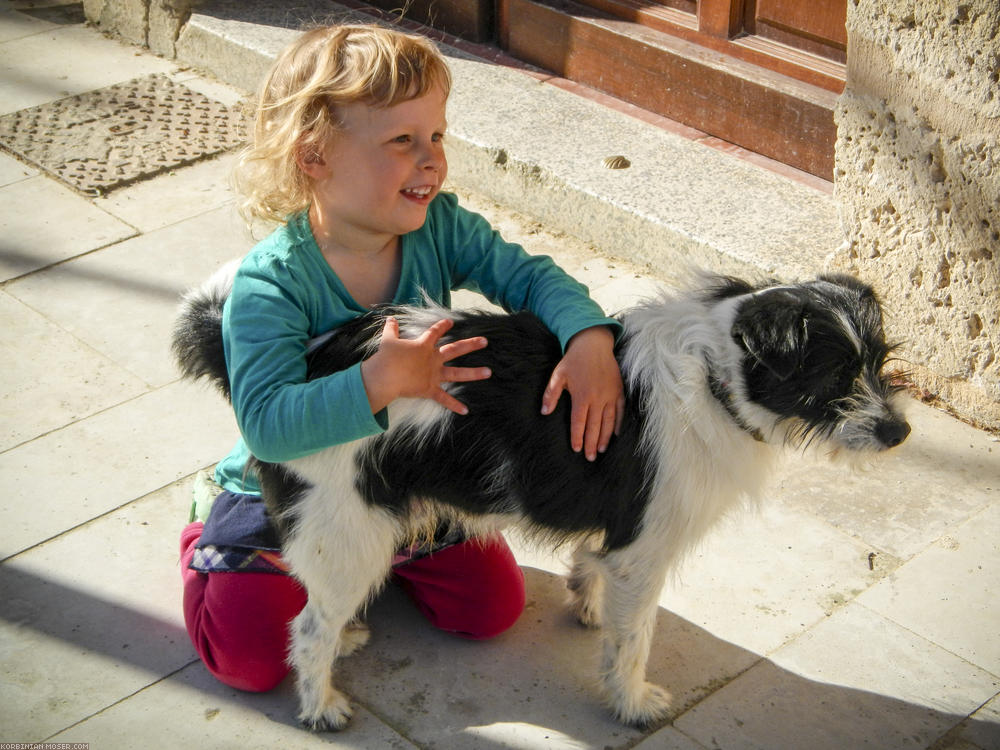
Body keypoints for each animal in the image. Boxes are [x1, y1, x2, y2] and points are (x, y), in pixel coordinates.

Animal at [176, 268, 912, 728]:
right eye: (834, 376)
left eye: (878, 362)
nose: (901, 433)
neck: (714, 376)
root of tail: (305, 367)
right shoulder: (645, 551)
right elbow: (633, 641)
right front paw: (632, 703)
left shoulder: (618, 539)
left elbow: (595, 572)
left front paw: (587, 604)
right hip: (350, 528)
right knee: (306, 628)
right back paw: (320, 705)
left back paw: (349, 635)